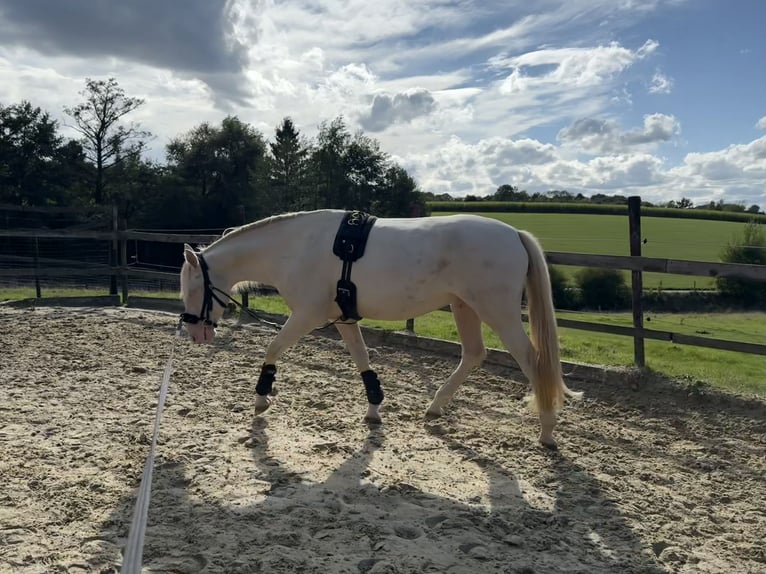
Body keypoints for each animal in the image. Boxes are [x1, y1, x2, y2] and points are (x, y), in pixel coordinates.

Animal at [179, 209, 581, 449]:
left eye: (193, 287)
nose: (196, 334)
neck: (295, 248)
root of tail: (514, 233)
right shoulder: (343, 318)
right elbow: (362, 357)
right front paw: (374, 408)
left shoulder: (307, 315)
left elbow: (273, 347)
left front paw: (261, 399)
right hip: (464, 307)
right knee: (473, 354)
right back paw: (435, 407)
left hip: (497, 311)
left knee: (531, 360)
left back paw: (547, 431)